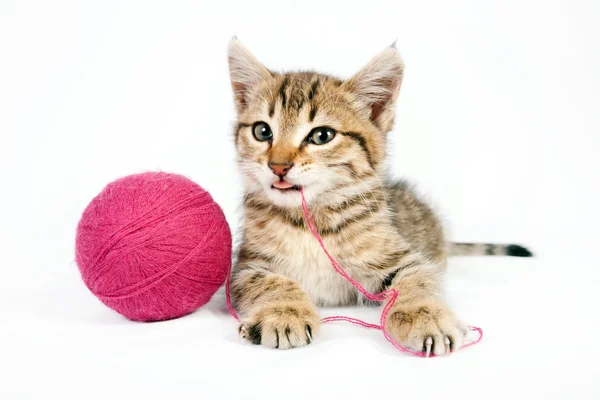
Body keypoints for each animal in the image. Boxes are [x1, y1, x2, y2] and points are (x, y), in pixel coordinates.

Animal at [227, 38, 532, 356]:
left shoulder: (406, 259)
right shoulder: (247, 267)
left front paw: (427, 318)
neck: (312, 217)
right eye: (263, 131)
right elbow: (273, 282)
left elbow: (417, 281)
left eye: (322, 136)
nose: (278, 166)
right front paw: (284, 313)